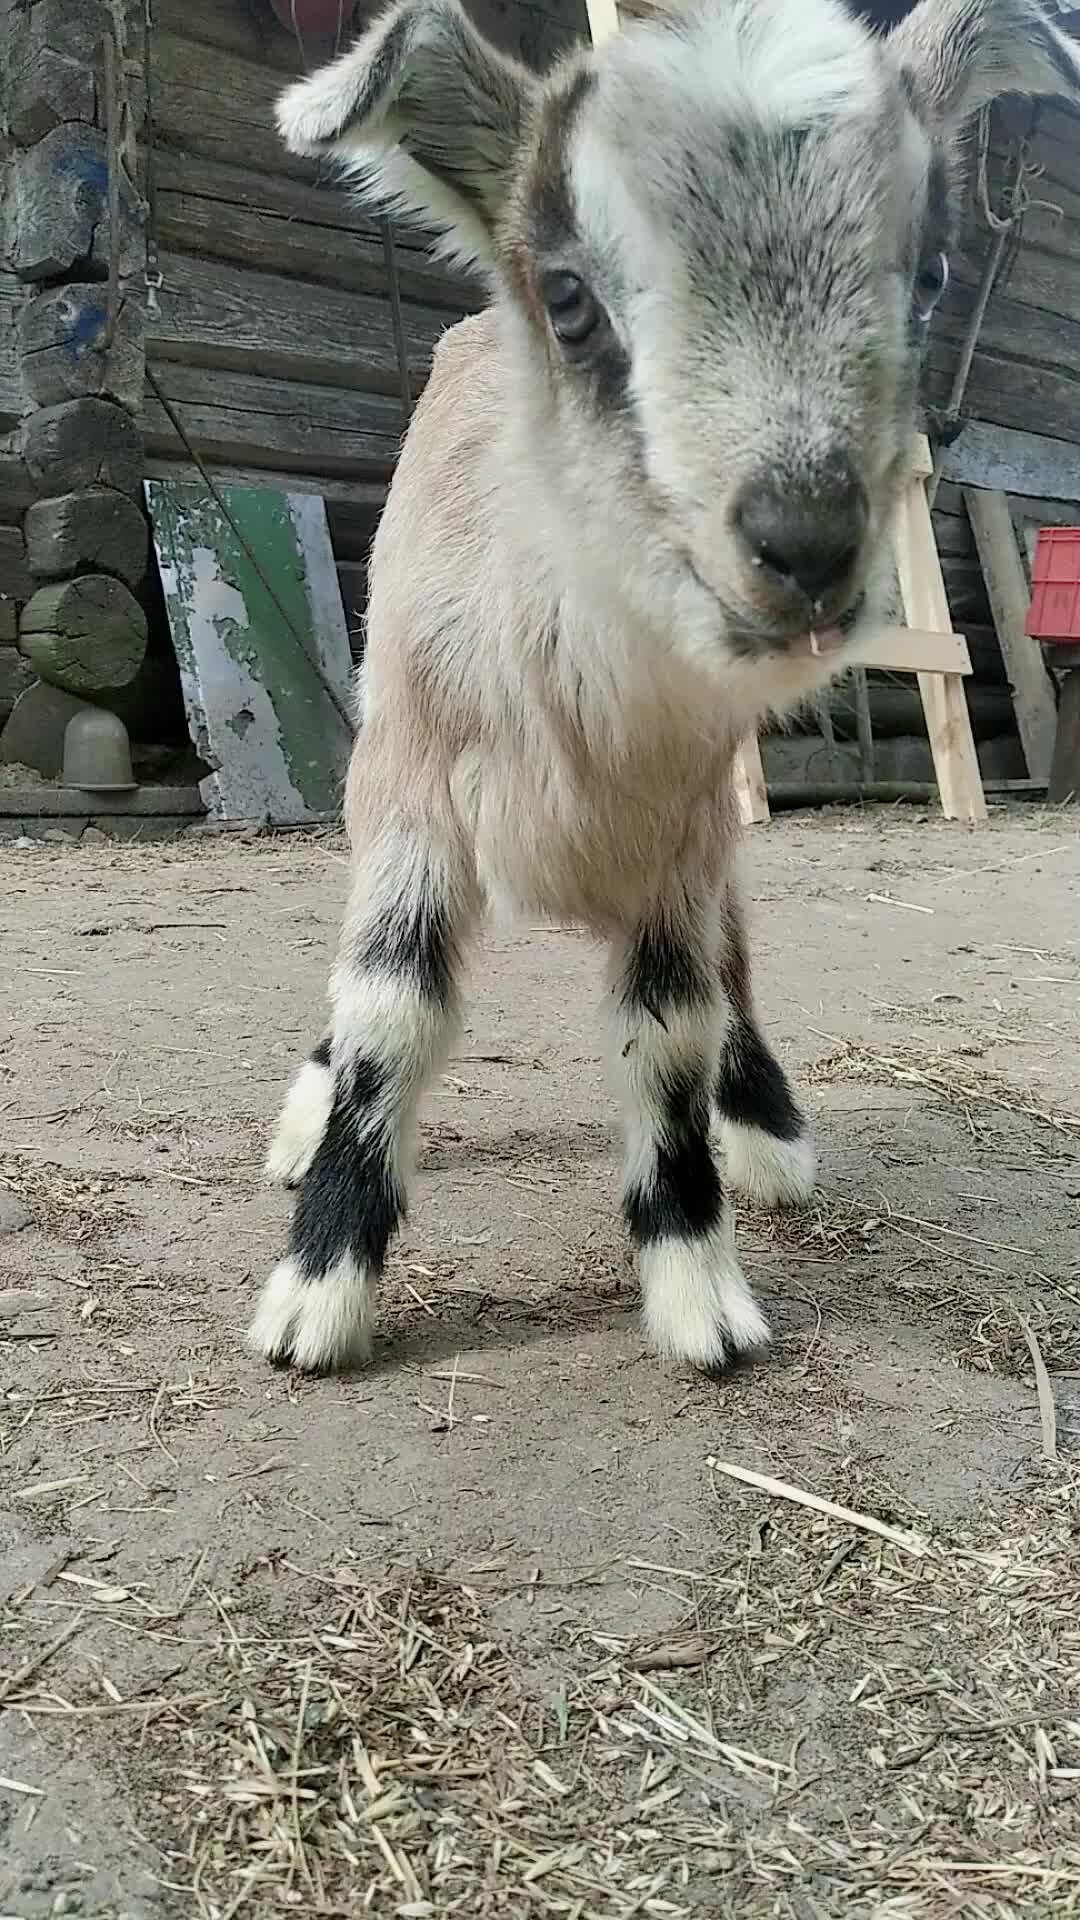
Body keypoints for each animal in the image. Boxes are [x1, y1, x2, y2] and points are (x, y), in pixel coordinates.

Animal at [249, 0, 1076, 1374]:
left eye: (933, 276)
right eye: (570, 297)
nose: (804, 542)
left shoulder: (679, 840)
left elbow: (670, 1030)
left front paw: (700, 1294)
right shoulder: (416, 798)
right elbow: (388, 1015)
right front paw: (317, 1293)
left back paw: (766, 1128)